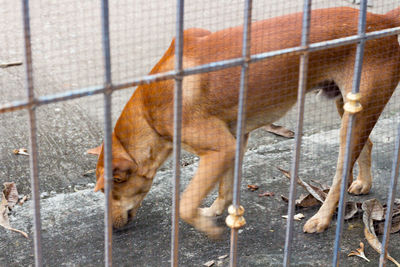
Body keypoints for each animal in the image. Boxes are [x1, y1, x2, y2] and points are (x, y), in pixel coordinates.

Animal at [92, 6, 400, 239]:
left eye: (108, 190)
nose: (110, 229)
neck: (148, 110)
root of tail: (381, 20)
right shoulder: (235, 140)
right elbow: (225, 188)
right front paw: (215, 213)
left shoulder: (220, 149)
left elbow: (185, 205)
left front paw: (208, 227)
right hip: (349, 107)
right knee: (367, 145)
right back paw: (363, 182)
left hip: (353, 120)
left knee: (339, 176)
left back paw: (322, 219)